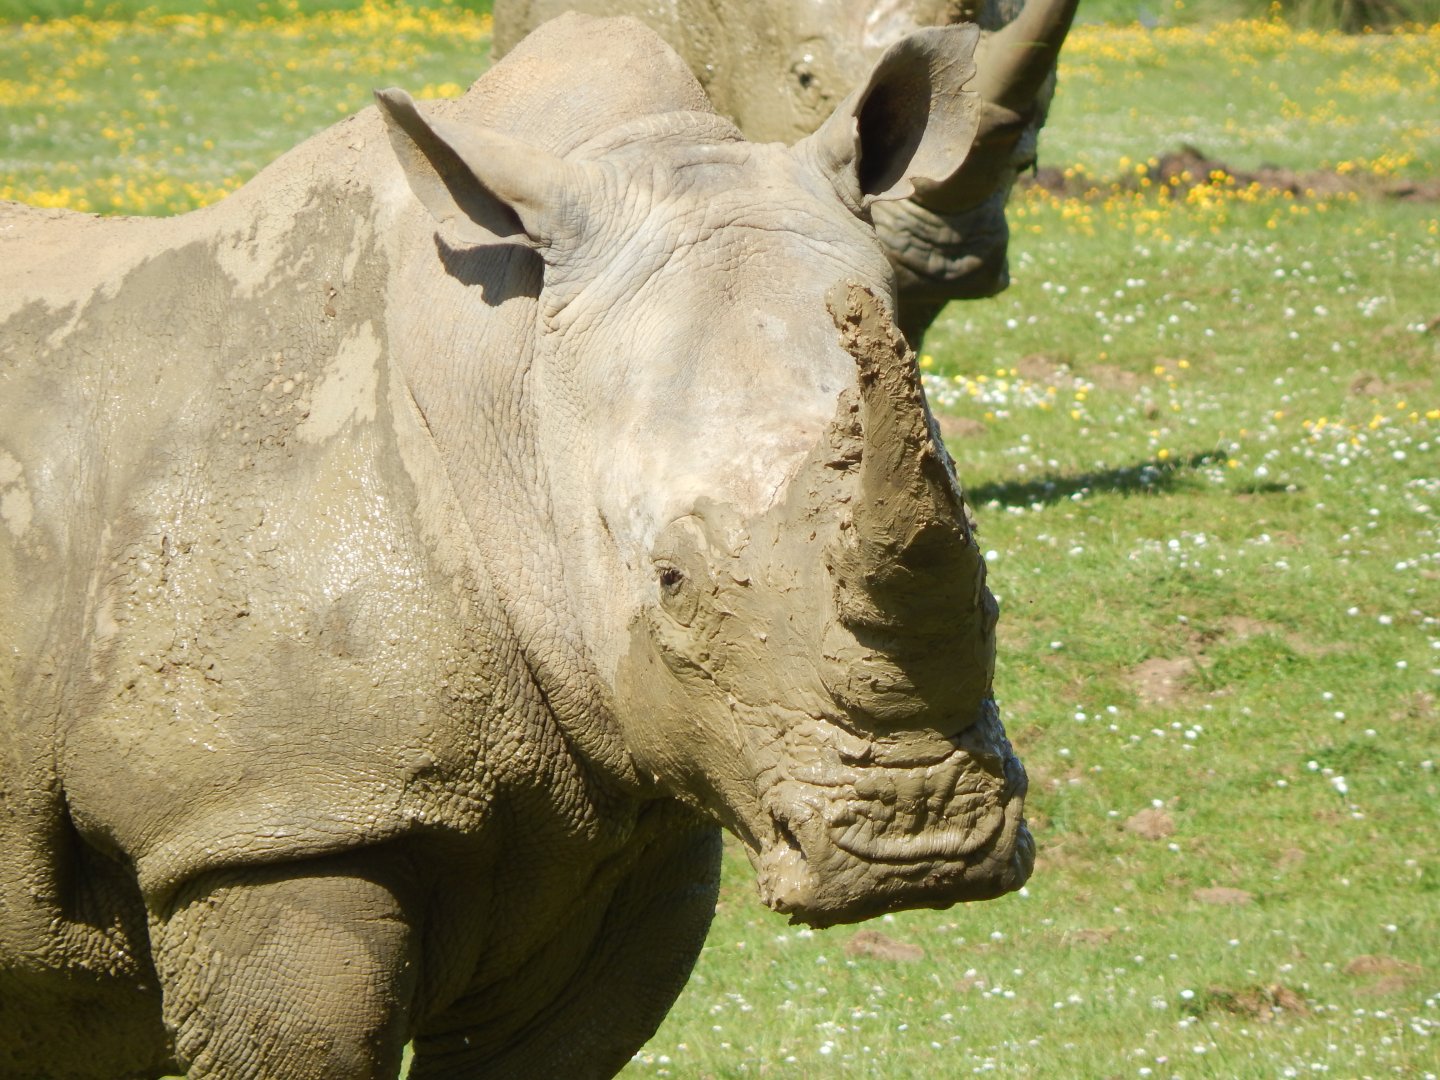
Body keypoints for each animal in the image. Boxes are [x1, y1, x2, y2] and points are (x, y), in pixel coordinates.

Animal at [0, 14, 1029, 1079]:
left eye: (987, 577)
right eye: (669, 581)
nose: (921, 840)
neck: (506, 389)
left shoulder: (637, 813)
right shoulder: (272, 816)